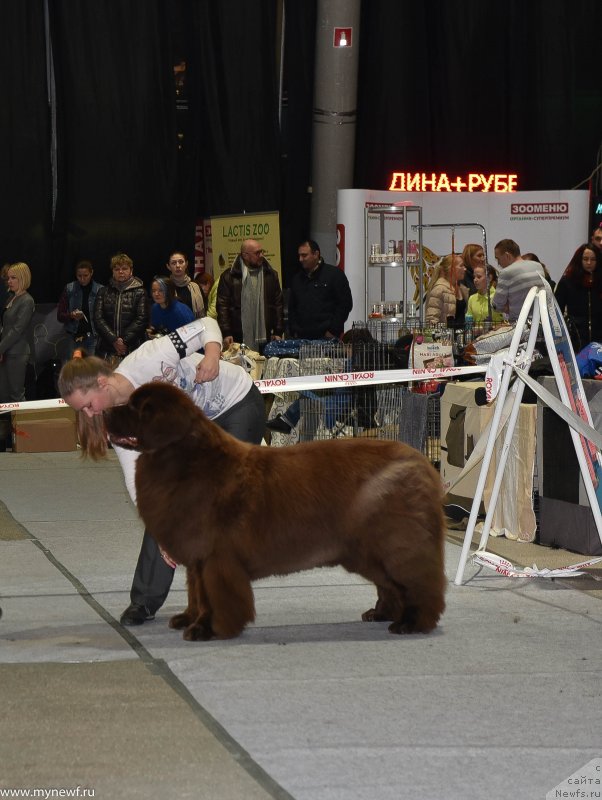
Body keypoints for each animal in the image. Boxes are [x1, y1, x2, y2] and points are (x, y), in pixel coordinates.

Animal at [105, 382, 446, 644]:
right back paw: (382, 613)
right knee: (389, 584)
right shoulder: (197, 557)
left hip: (395, 542)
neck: (181, 459)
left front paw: (206, 628)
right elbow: (196, 592)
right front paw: (191, 620)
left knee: (418, 582)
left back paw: (412, 623)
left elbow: (212, 595)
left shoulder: (214, 557)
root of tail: (422, 462)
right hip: (366, 550)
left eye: (137, 408)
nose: (106, 412)